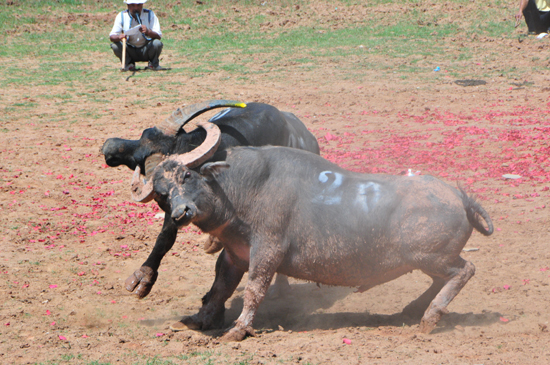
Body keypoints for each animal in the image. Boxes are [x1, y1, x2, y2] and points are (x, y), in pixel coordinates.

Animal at [141, 123, 496, 340]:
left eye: (187, 175)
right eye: (162, 194)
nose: (180, 213)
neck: (243, 189)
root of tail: (458, 195)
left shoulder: (267, 252)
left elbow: (255, 289)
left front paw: (238, 329)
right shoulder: (234, 255)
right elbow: (219, 289)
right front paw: (199, 320)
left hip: (431, 255)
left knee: (464, 270)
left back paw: (430, 316)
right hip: (427, 258)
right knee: (443, 278)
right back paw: (413, 309)